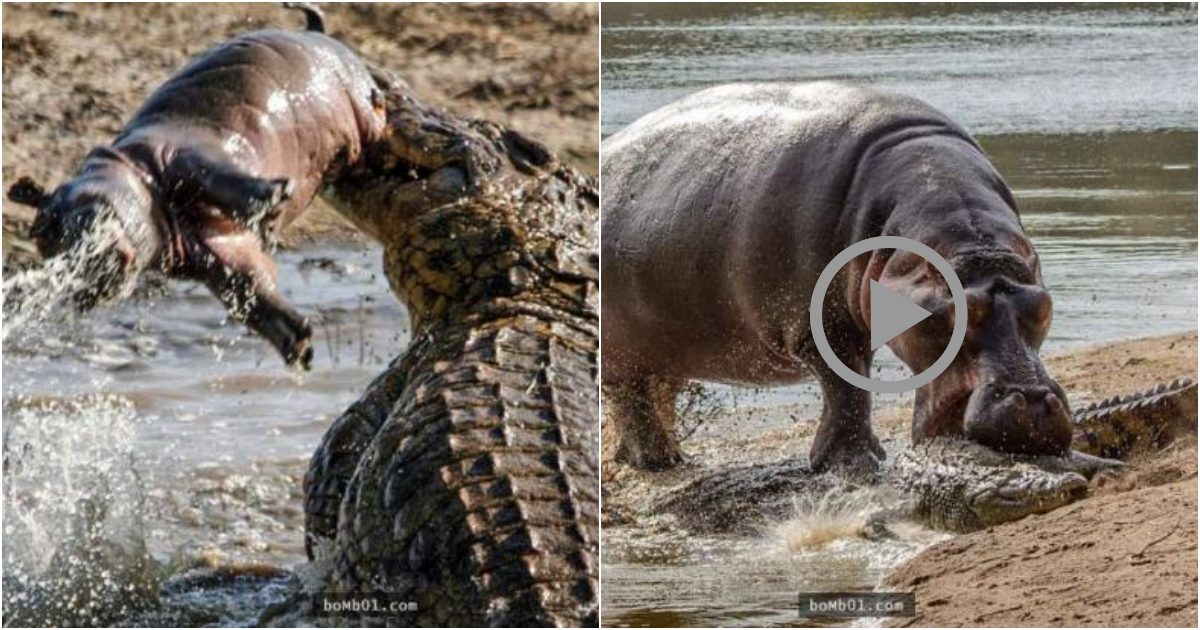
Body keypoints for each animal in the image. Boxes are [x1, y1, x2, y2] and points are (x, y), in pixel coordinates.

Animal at [604, 84, 1075, 477]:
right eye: (955, 312)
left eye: (1042, 308)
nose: (1033, 403)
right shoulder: (821, 326)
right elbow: (846, 391)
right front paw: (850, 464)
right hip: (624, 354)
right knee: (631, 402)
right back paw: (656, 461)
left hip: (663, 349)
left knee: (655, 395)